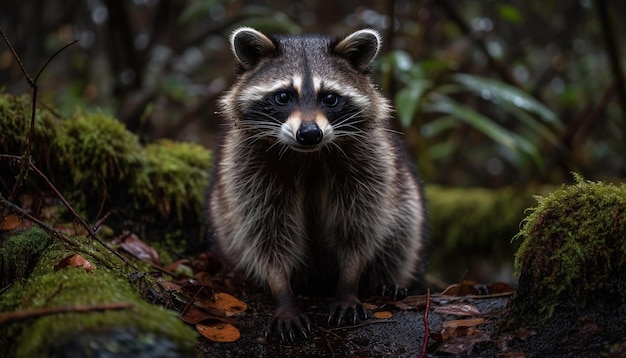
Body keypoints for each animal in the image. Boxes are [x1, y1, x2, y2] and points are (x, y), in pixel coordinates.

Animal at [207, 27, 426, 342]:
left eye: (330, 98)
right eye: (283, 96)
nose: (310, 133)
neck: (308, 154)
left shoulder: (369, 165)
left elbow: (357, 227)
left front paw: (349, 283)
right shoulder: (248, 169)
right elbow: (267, 233)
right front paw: (281, 291)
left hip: (403, 187)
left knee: (404, 226)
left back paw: (385, 281)